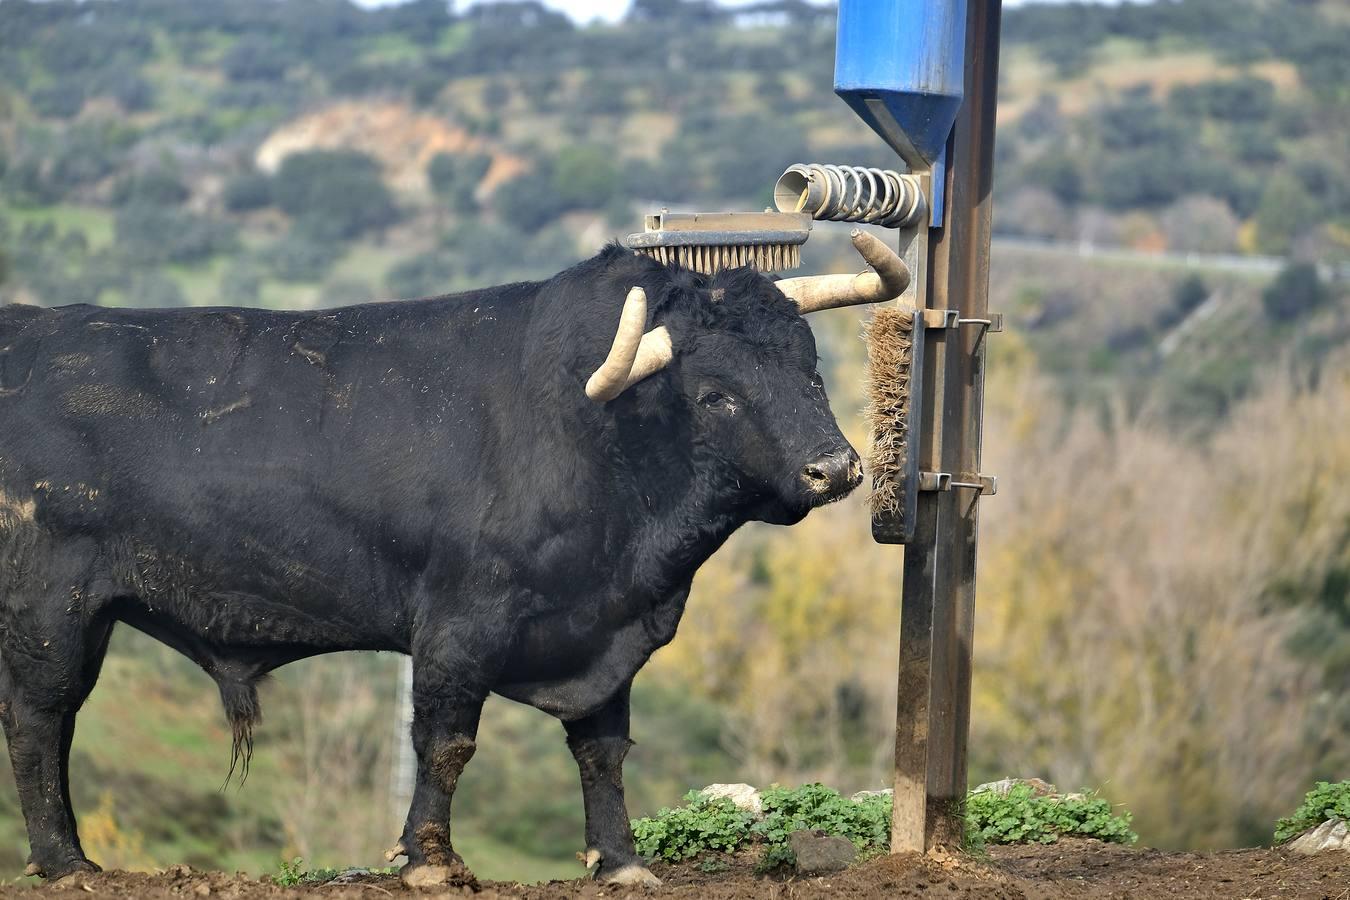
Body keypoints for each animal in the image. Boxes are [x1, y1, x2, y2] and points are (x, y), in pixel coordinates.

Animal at [0, 242, 864, 885]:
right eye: (718, 394)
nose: (837, 468)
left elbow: (603, 750)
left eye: (811, 367)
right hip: (50, 609)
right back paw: (67, 863)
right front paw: (429, 860)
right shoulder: (459, 623)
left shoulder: (606, 638)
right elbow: (445, 742)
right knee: (40, 720)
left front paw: (620, 862)